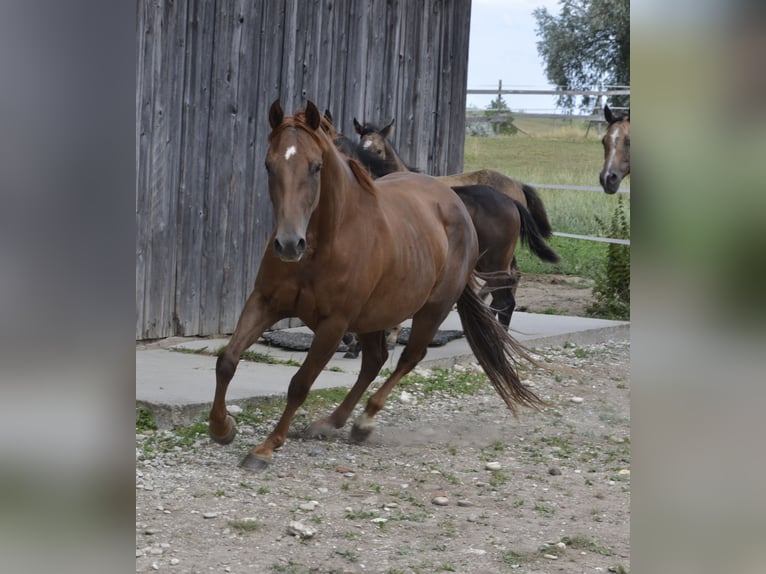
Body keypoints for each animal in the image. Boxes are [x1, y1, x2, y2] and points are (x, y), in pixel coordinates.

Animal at [210, 102, 544, 472]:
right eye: (270, 164)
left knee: (409, 357)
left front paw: (265, 448)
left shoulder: (334, 324)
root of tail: (455, 204)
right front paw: (222, 427)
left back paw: (364, 420)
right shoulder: (265, 302)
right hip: (375, 313)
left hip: (434, 307)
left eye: (316, 166)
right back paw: (330, 422)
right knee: (375, 359)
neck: (325, 242)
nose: (288, 244)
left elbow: (300, 384)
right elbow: (227, 360)